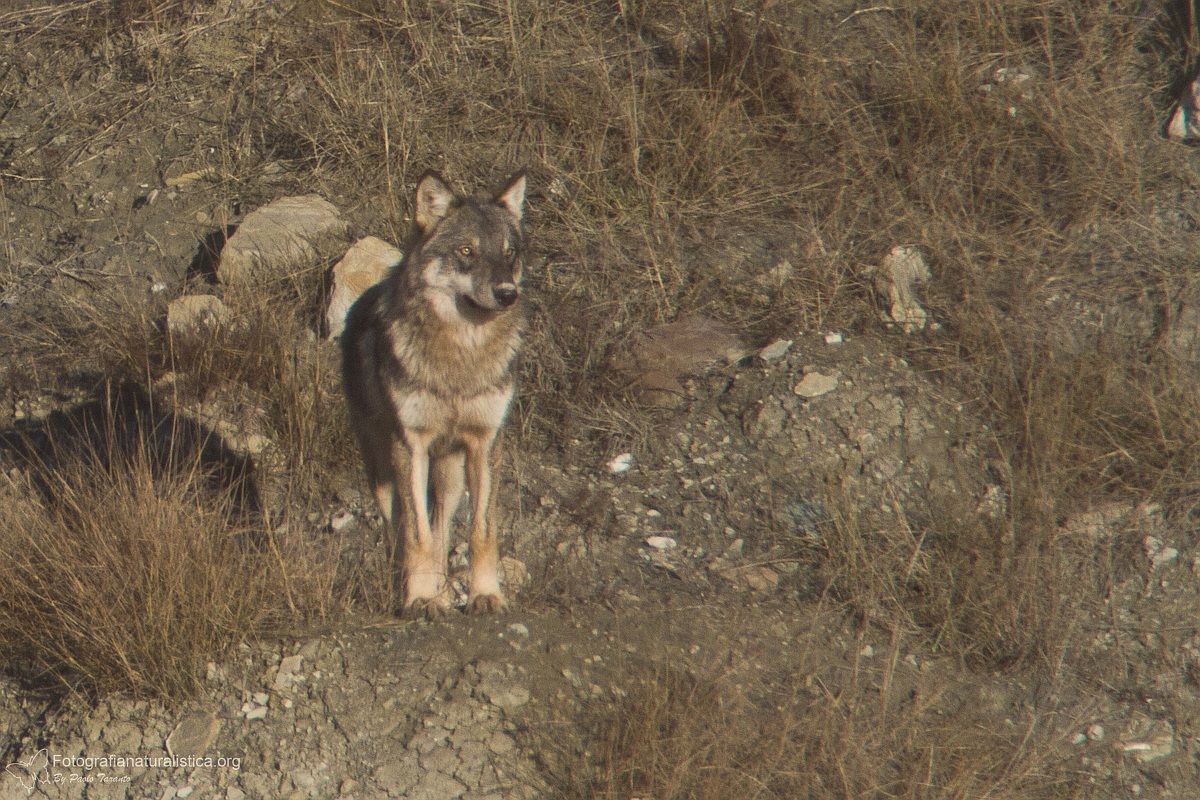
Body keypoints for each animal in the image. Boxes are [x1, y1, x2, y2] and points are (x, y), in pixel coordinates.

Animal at [341, 170, 527, 618]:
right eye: (466, 251)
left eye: (509, 253)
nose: (507, 293)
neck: (461, 358)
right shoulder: (410, 445)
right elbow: (417, 535)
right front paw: (422, 599)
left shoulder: (485, 444)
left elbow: (481, 533)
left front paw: (486, 595)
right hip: (384, 471)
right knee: (402, 529)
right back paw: (418, 593)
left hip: (452, 477)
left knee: (441, 530)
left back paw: (444, 593)